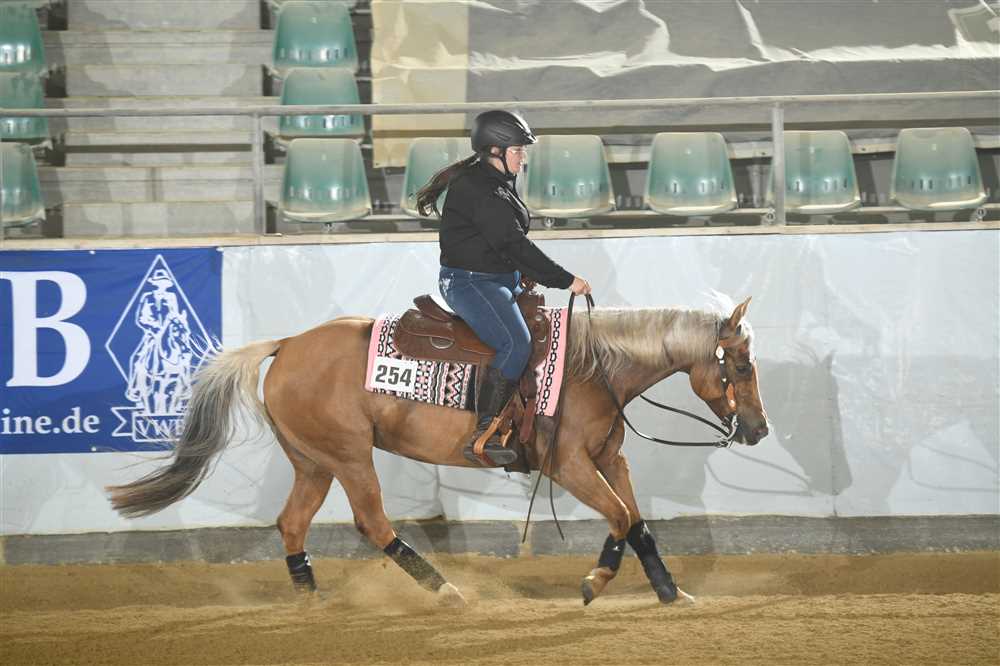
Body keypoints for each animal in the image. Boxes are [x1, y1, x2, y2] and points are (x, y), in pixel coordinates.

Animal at [107, 296, 769, 607]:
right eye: (740, 365)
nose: (759, 430)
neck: (592, 367)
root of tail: (288, 344)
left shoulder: (609, 460)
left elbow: (636, 522)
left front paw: (670, 592)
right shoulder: (570, 466)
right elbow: (620, 516)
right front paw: (595, 582)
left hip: (313, 461)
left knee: (292, 524)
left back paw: (311, 602)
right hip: (349, 457)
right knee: (373, 523)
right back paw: (447, 592)